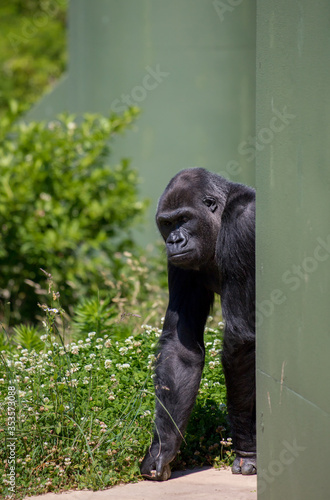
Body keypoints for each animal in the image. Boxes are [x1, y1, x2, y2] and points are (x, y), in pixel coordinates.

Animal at [141, 169, 256, 480]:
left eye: (184, 218)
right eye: (167, 223)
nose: (174, 241)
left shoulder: (243, 225)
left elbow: (241, 343)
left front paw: (247, 450)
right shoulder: (177, 262)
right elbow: (181, 349)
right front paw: (163, 448)